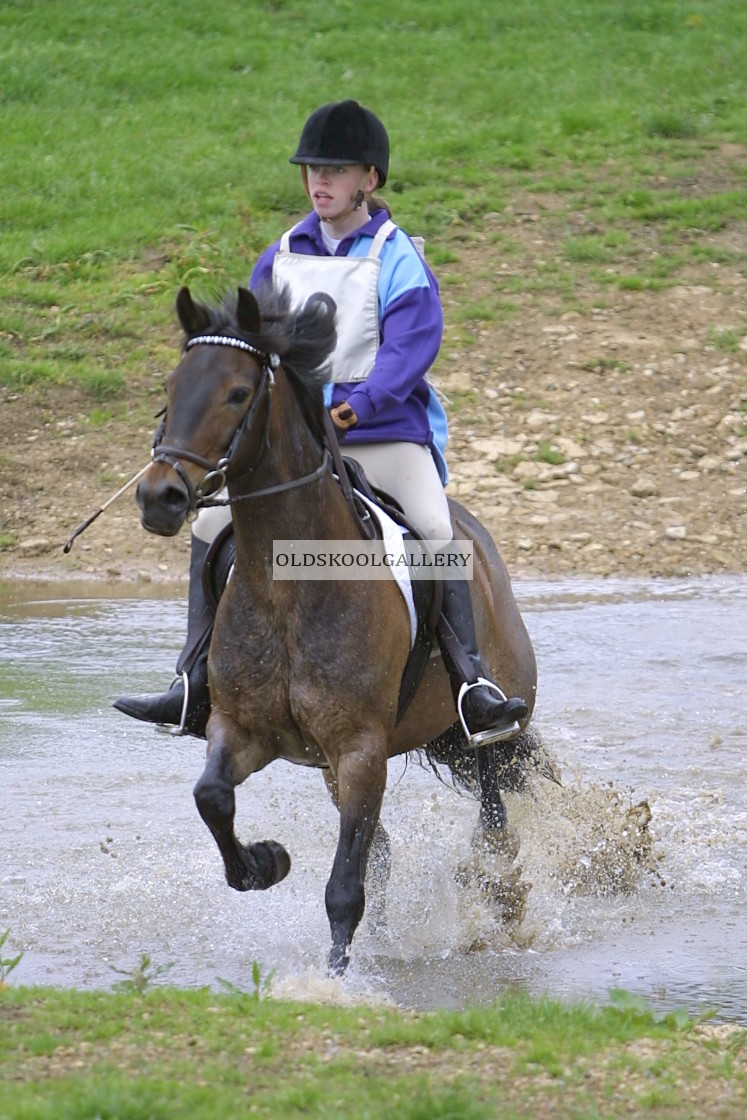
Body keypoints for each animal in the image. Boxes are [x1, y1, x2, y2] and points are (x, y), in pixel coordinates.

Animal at [134, 284, 539, 976]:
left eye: (237, 394)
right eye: (171, 386)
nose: (159, 497)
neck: (287, 588)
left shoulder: (360, 750)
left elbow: (345, 887)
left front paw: (335, 982)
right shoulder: (245, 731)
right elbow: (212, 797)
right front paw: (265, 862)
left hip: (490, 721)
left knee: (491, 807)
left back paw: (495, 895)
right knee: (387, 846)